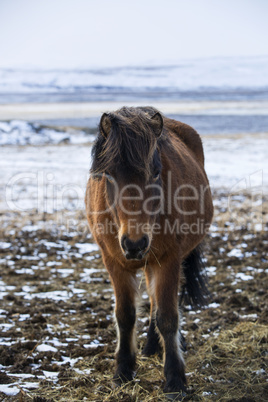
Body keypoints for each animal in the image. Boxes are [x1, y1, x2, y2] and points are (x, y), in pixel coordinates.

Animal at [86, 107, 214, 398]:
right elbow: (125, 315)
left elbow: (167, 317)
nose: (134, 244)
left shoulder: (169, 260)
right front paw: (122, 371)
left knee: (162, 305)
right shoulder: (114, 262)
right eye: (109, 174)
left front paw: (175, 380)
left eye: (155, 173)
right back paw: (151, 347)